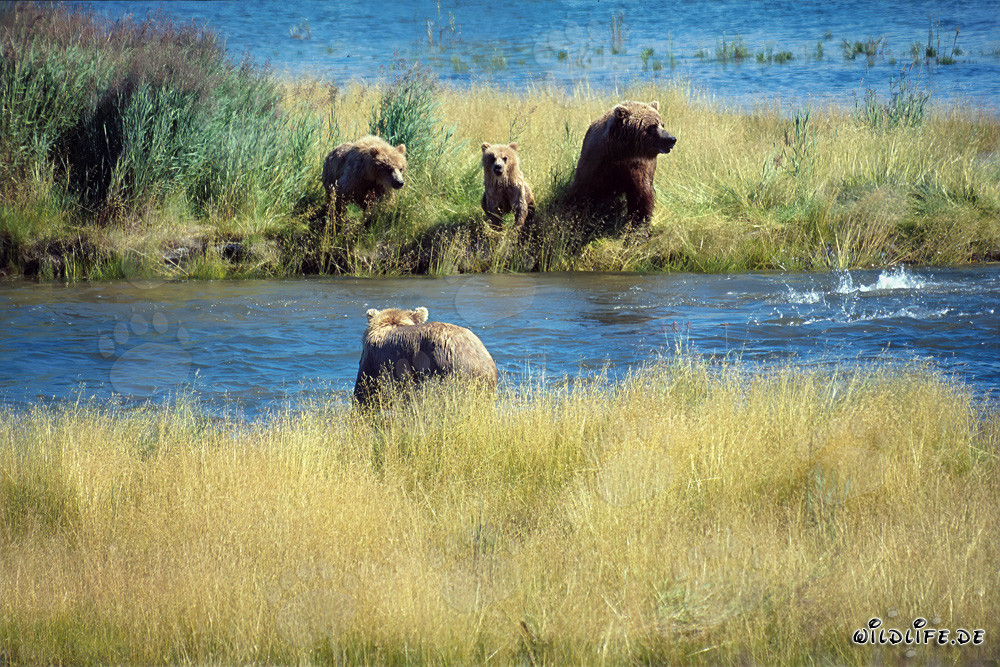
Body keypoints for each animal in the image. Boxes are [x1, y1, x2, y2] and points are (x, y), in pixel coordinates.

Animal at [566, 100, 676, 233]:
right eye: (652, 126)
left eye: (662, 124)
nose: (671, 139)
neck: (621, 153)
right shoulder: (596, 163)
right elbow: (582, 192)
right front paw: (575, 221)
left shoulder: (638, 167)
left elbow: (641, 196)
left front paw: (639, 225)